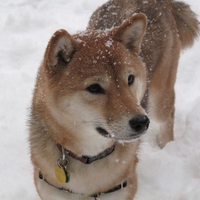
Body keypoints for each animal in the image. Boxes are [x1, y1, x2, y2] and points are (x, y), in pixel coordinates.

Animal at [28, 0, 199, 199]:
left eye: (130, 79)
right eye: (94, 88)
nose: (142, 122)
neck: (88, 158)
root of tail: (158, 2)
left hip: (160, 99)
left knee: (168, 116)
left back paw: (165, 146)